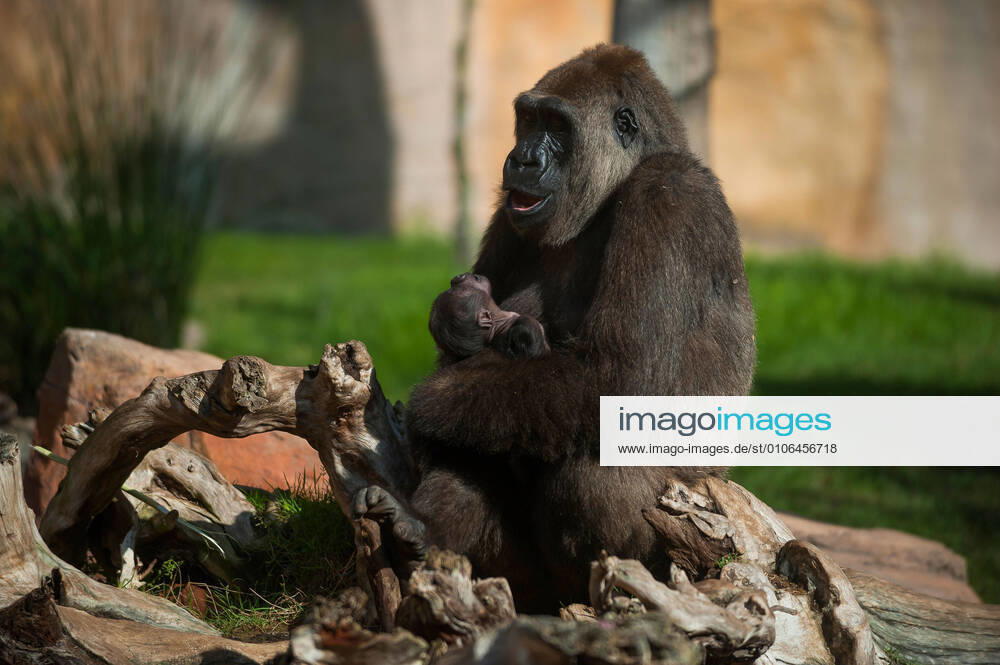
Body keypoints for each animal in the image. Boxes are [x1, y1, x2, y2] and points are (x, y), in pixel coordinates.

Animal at [355, 44, 755, 613]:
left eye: (557, 126)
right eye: (527, 120)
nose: (521, 159)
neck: (609, 191)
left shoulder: (672, 194)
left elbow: (619, 380)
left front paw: (427, 405)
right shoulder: (508, 212)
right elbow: (467, 372)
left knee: (596, 460)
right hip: (517, 573)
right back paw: (422, 528)